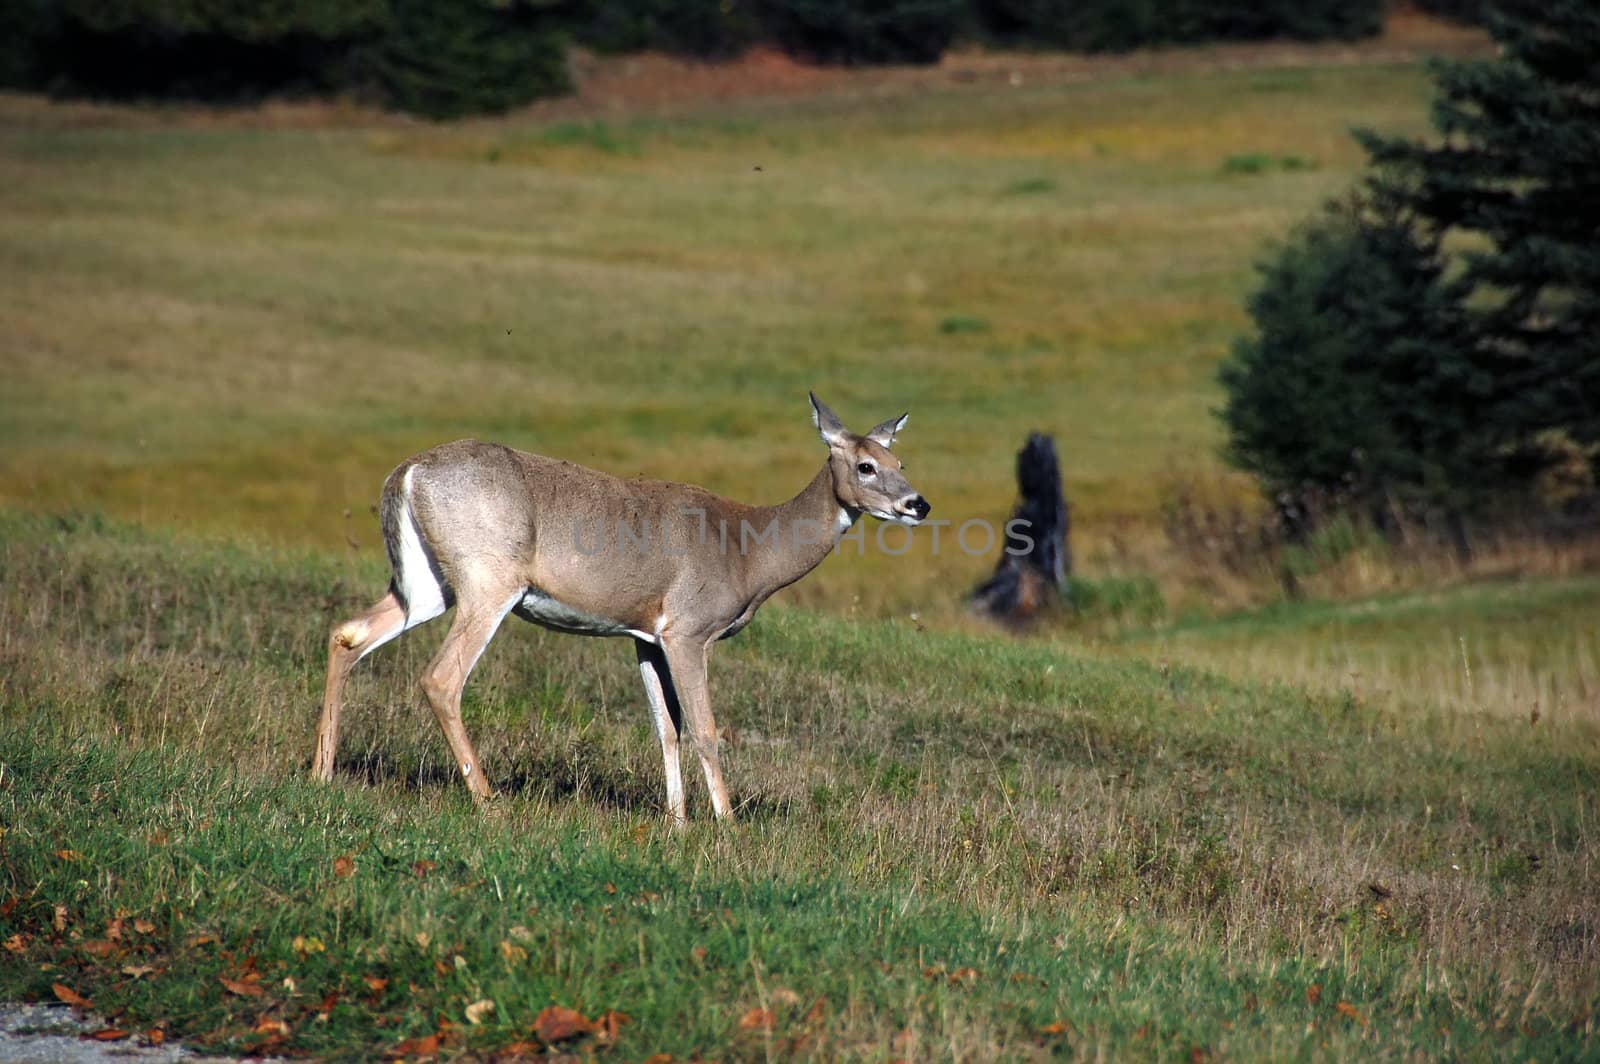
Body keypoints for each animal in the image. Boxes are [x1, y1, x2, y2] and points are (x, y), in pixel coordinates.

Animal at [310, 393, 928, 816]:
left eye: (900, 462)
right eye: (866, 465)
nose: (918, 504)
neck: (748, 551)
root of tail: (406, 474)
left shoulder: (645, 636)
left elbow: (666, 729)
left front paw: (678, 822)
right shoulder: (688, 630)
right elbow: (705, 729)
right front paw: (726, 824)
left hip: (424, 583)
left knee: (349, 633)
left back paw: (321, 773)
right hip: (489, 581)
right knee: (441, 678)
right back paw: (488, 799)